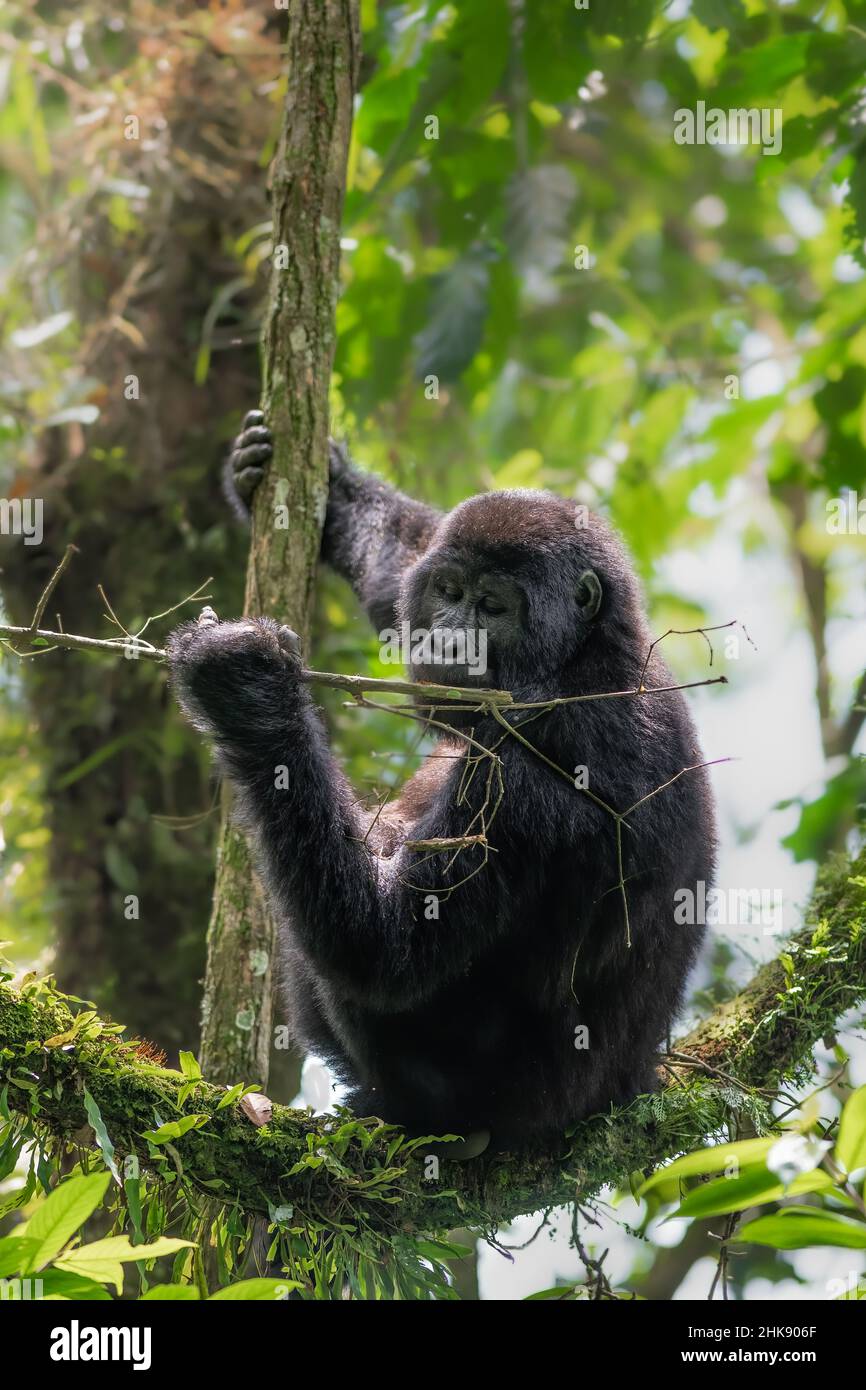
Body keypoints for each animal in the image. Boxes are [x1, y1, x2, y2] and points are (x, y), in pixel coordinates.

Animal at [170, 414, 717, 1150]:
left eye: (493, 607)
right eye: (450, 594)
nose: (452, 637)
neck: (583, 657)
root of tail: (621, 1091)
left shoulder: (527, 776)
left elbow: (383, 946)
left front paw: (249, 695)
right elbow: (400, 563)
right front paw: (326, 484)